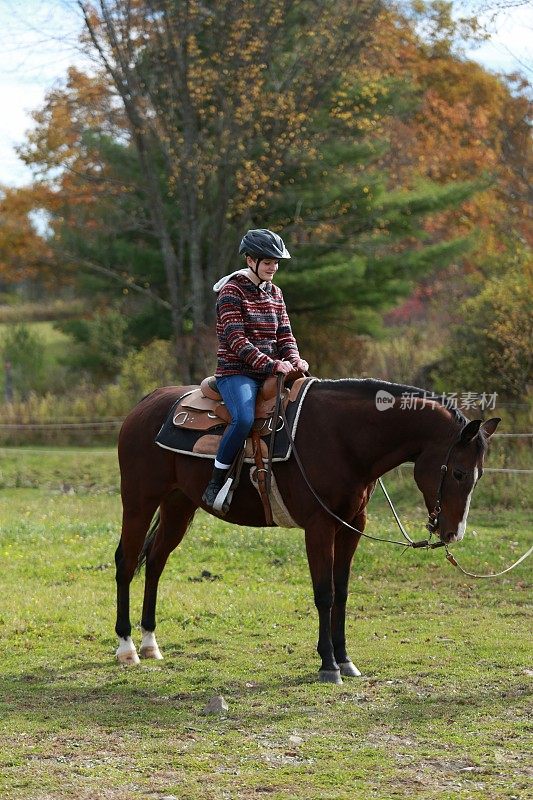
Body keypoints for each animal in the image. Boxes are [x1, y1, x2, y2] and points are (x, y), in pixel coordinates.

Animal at [113, 380, 498, 680]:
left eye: (479, 475)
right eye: (459, 473)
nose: (453, 533)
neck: (344, 439)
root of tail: (147, 403)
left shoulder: (352, 526)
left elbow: (341, 592)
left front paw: (346, 661)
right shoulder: (318, 526)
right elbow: (324, 593)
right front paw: (328, 665)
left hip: (178, 504)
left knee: (156, 561)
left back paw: (150, 644)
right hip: (139, 502)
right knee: (126, 562)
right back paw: (127, 648)